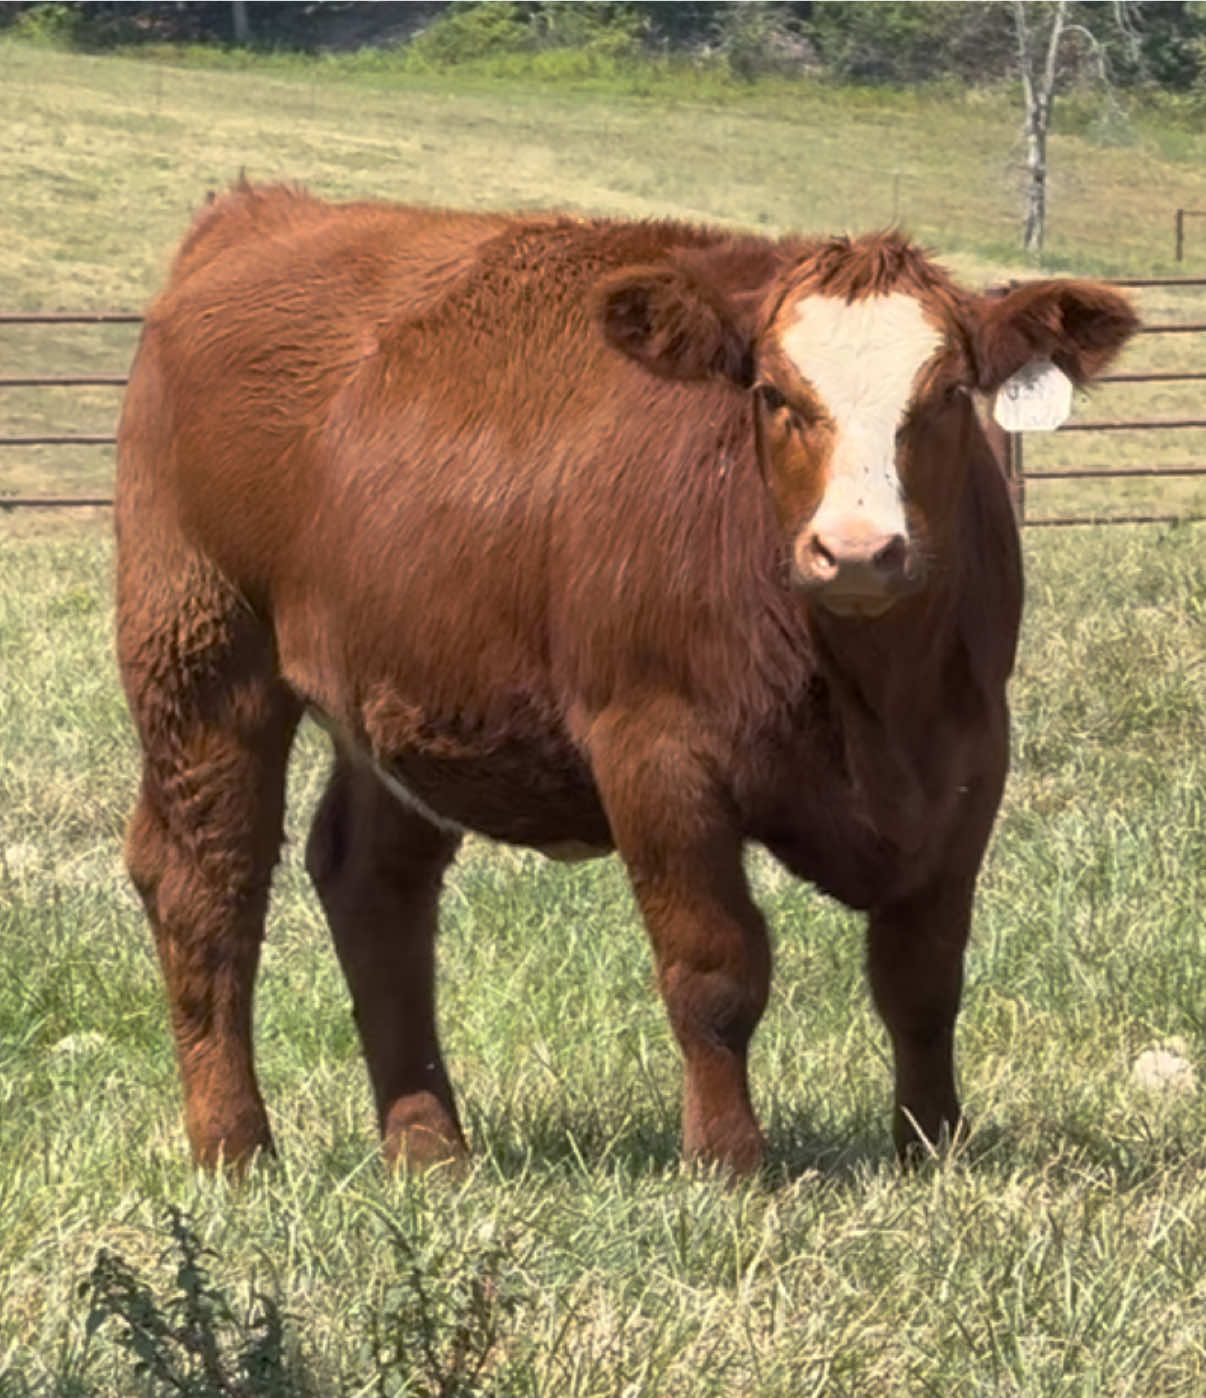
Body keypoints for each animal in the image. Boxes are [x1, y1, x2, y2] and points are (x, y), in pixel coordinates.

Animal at [115, 182, 1138, 1174]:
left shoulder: (970, 761)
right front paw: (727, 1163)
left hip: (392, 691)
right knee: (206, 879)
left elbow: (922, 975)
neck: (876, 697)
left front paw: (933, 1148)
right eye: (773, 392)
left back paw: (430, 1150)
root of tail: (260, 213)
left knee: (374, 885)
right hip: (201, 650)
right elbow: (716, 971)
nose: (857, 551)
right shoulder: (656, 753)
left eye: (950, 392)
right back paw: (235, 1149)